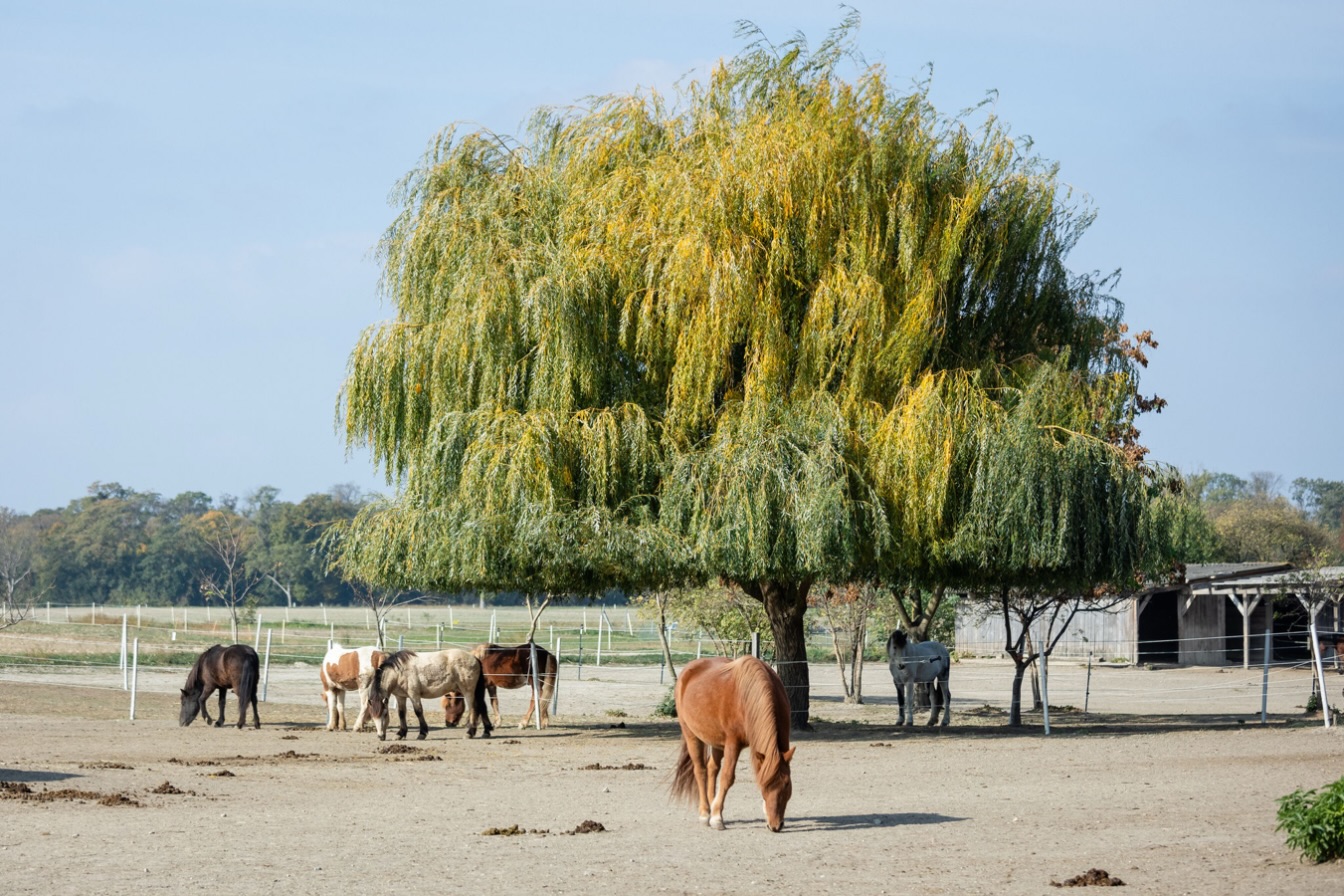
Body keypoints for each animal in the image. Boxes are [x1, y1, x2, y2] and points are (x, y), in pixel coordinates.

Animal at [363, 649, 493, 741]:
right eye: (372, 716)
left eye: (385, 714)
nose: (380, 736)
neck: (399, 672)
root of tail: (474, 658)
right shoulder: (400, 697)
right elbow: (401, 714)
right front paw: (400, 734)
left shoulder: (414, 695)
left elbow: (418, 711)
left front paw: (422, 733)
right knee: (482, 707)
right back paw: (486, 732)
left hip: (468, 691)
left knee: (474, 708)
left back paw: (470, 733)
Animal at [670, 656, 795, 832]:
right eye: (764, 786)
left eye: (786, 784)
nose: (776, 825)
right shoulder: (733, 744)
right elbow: (727, 777)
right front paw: (717, 818)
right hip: (691, 735)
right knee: (700, 771)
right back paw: (706, 813)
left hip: (716, 741)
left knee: (712, 768)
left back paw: (712, 806)